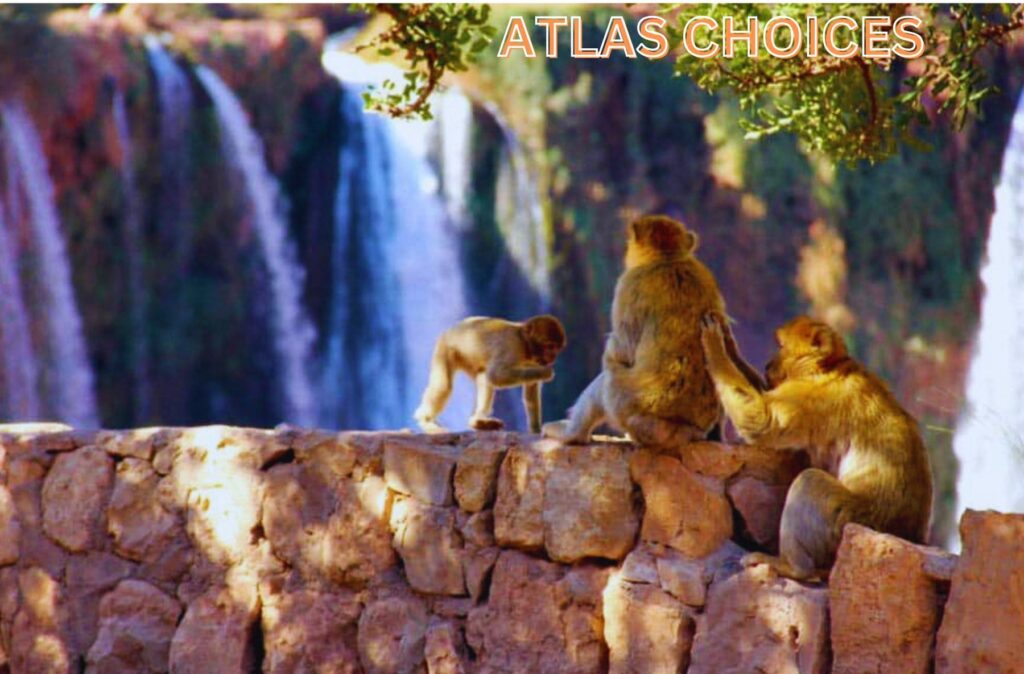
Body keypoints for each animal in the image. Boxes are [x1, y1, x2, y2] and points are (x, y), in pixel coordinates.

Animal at [411, 313, 569, 432]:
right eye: (550, 347)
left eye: (557, 349)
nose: (553, 357)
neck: (524, 344)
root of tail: (452, 328)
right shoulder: (512, 345)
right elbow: (496, 375)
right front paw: (546, 372)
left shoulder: (534, 361)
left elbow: (530, 390)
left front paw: (536, 430)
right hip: (446, 347)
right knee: (444, 386)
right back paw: (425, 420)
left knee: (483, 377)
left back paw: (478, 421)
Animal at [540, 214, 765, 446]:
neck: (668, 259)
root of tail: (685, 430)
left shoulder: (629, 284)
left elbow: (622, 349)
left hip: (632, 407)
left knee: (608, 378)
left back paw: (573, 433)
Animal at [700, 311, 933, 581]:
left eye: (781, 346)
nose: (768, 364)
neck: (830, 368)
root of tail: (905, 534)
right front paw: (731, 348)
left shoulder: (811, 397)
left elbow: (761, 421)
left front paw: (716, 349)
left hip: (847, 524)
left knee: (810, 481)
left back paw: (792, 567)